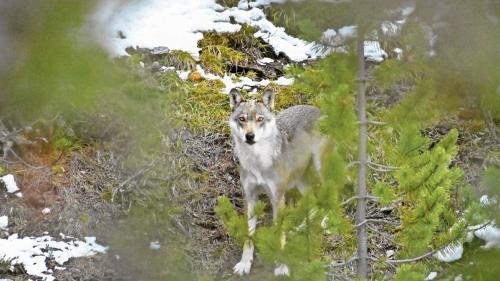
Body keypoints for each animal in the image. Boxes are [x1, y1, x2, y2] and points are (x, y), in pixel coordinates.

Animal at [229, 88, 324, 274]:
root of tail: (318, 109)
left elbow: (279, 234)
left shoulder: (277, 198)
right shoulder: (250, 198)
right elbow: (248, 236)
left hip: (320, 169)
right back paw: (300, 227)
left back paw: (326, 223)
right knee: (314, 201)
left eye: (260, 119)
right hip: (300, 180)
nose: (249, 136)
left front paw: (281, 266)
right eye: (242, 119)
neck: (258, 162)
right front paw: (245, 264)